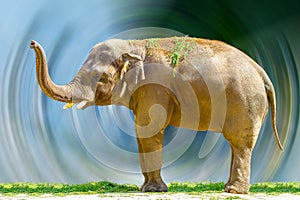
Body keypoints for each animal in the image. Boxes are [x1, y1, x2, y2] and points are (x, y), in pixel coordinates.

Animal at [30, 36, 284, 194]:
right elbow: (141, 133)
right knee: (236, 145)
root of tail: (262, 72)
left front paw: (153, 190)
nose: (32, 42)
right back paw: (229, 187)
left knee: (240, 143)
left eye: (97, 76)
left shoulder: (154, 89)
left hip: (245, 101)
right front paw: (146, 189)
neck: (134, 46)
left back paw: (233, 191)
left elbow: (149, 129)